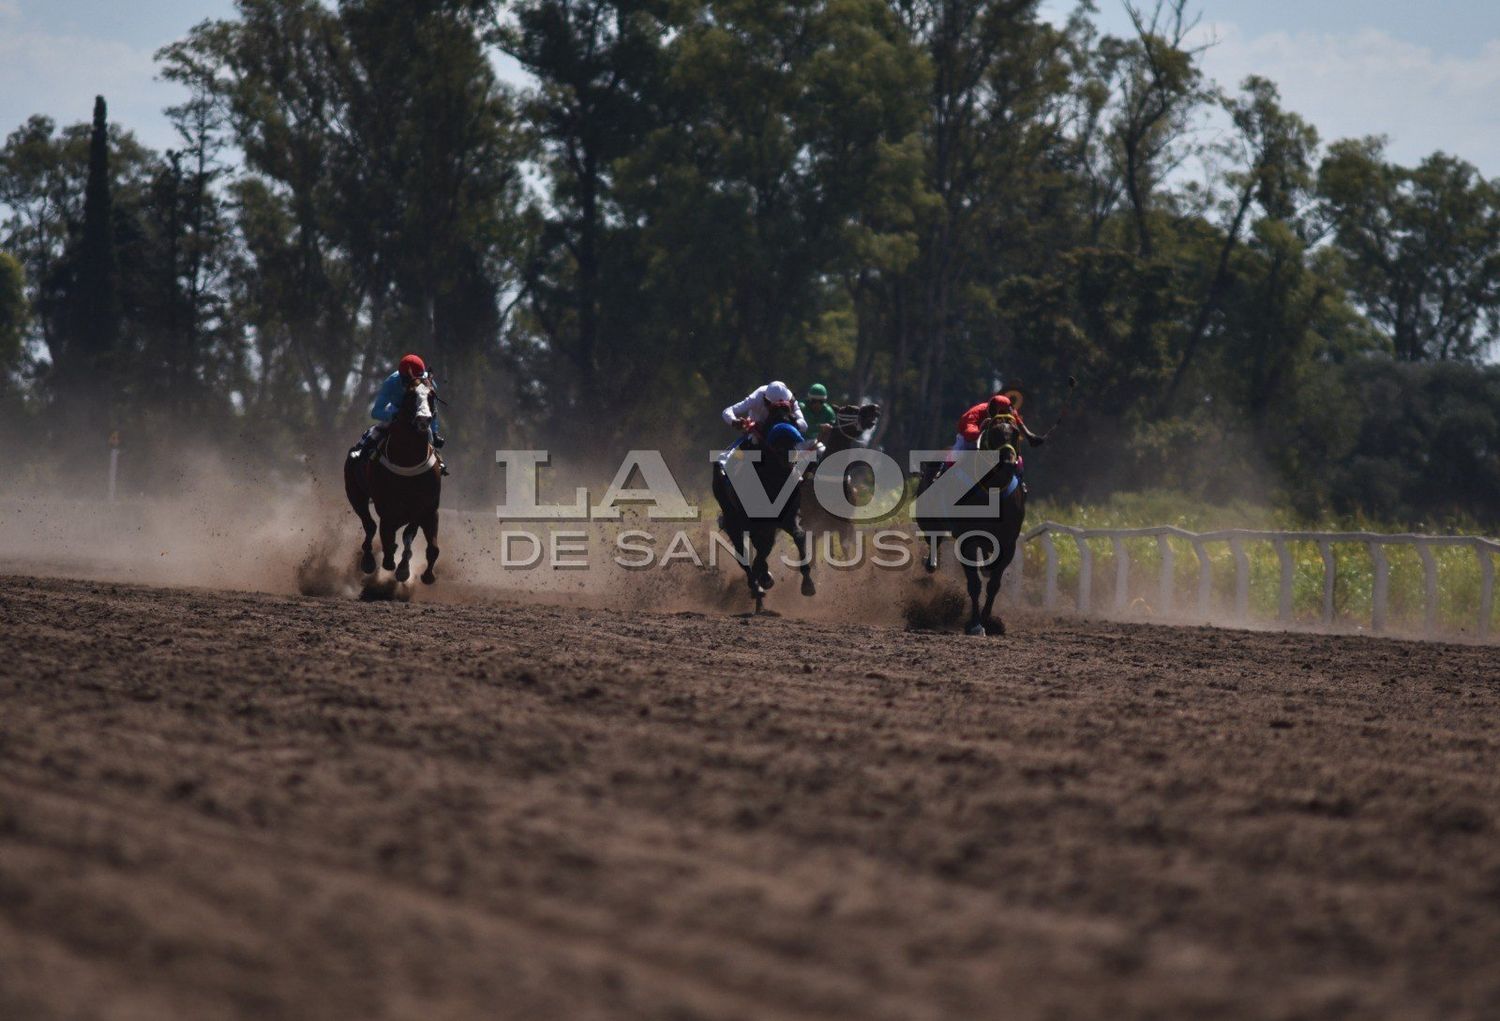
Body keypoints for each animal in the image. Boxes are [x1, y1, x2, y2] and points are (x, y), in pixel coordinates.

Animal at [348, 376, 441, 584]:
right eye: (410, 394)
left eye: (432, 395)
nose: (423, 419)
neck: (408, 461)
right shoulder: (388, 510)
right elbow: (387, 539)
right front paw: (390, 563)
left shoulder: (428, 510)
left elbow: (430, 547)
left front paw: (424, 574)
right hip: (355, 494)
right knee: (370, 525)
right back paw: (368, 561)